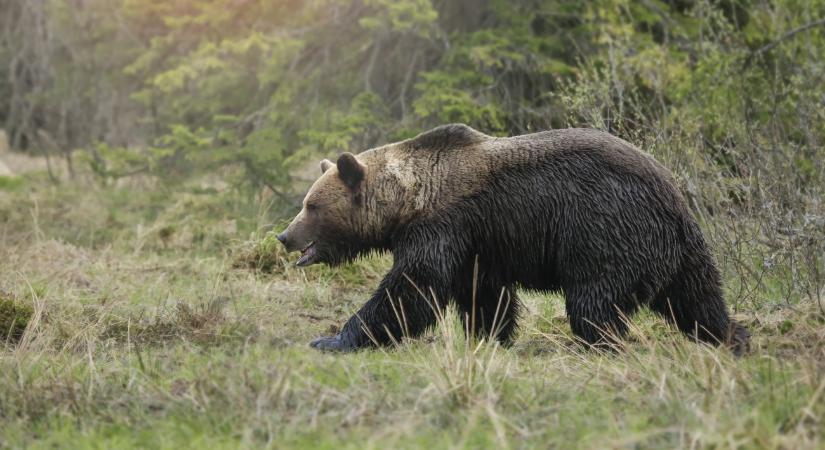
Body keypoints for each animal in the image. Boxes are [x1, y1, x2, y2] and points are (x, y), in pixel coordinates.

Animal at [276, 124, 748, 356]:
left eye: (312, 206)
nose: (284, 236)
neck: (411, 198)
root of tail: (675, 199)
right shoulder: (479, 241)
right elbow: (483, 294)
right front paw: (489, 337)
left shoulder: (446, 224)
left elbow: (413, 286)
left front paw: (334, 338)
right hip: (680, 251)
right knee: (697, 299)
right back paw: (732, 337)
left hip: (608, 232)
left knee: (594, 303)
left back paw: (596, 346)